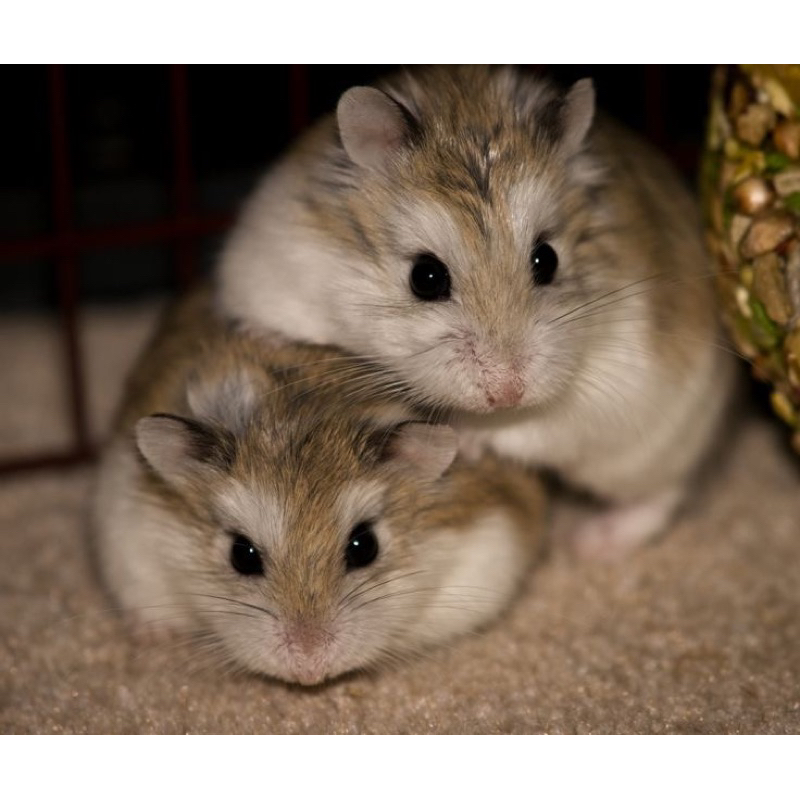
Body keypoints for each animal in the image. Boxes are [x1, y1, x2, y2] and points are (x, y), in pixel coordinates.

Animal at [216, 65, 735, 558]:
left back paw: (590, 543)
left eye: (547, 259)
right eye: (425, 277)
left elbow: (534, 428)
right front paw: (261, 335)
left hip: (652, 446)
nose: (508, 393)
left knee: (660, 495)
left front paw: (463, 437)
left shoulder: (602, 390)